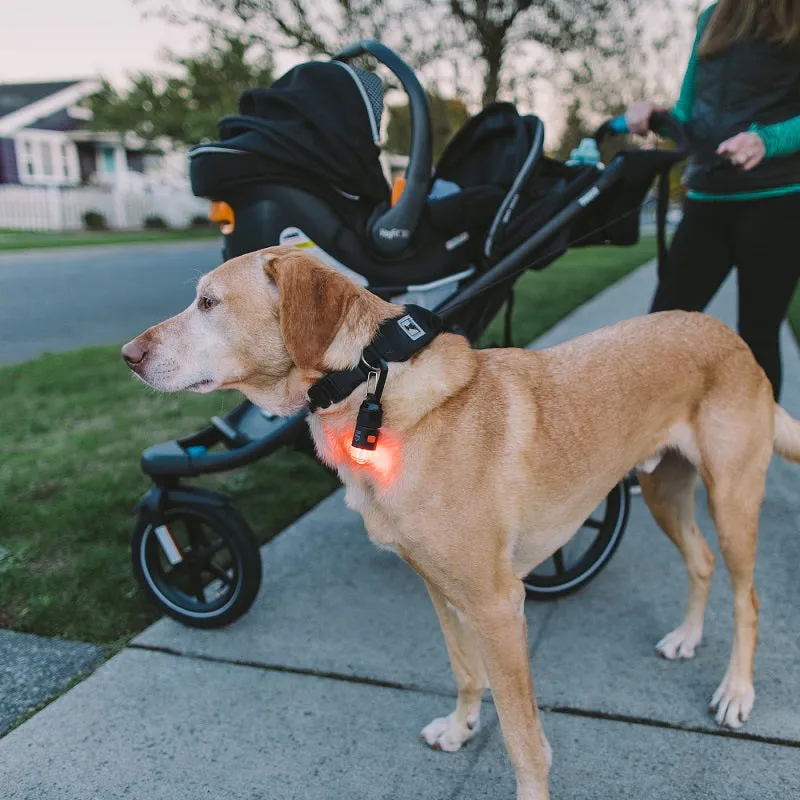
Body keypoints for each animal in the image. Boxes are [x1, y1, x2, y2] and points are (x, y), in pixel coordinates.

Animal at [122, 247, 800, 796]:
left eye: (209, 303)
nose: (127, 356)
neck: (371, 390)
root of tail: (728, 332)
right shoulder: (441, 590)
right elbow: (464, 669)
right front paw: (462, 725)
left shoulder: (500, 606)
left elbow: (525, 741)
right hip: (663, 490)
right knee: (700, 561)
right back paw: (687, 637)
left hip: (732, 501)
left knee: (747, 598)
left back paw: (737, 692)